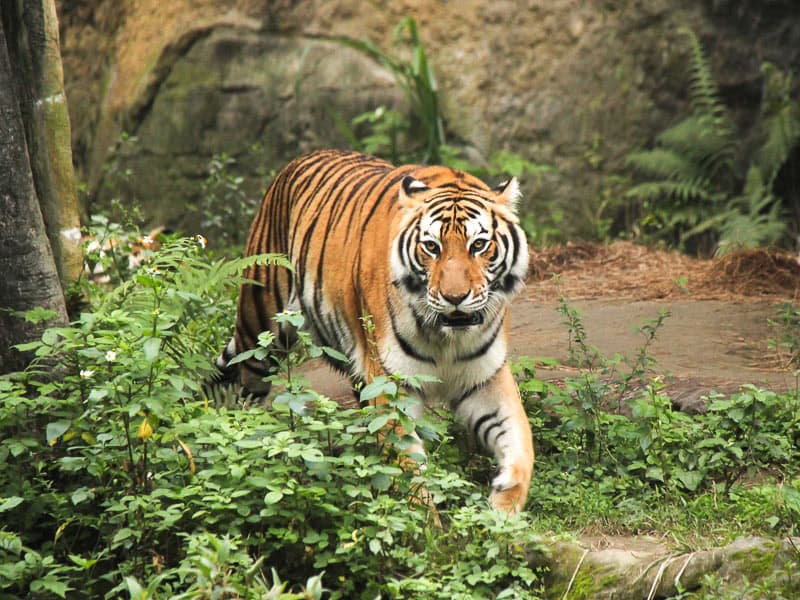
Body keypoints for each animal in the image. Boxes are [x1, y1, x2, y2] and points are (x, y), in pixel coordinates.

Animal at [216, 148, 536, 512]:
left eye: (479, 245)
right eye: (432, 247)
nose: (455, 298)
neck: (447, 338)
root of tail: (299, 160)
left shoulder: (485, 378)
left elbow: (521, 444)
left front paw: (503, 507)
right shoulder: (390, 384)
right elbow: (409, 473)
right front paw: (427, 523)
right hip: (259, 328)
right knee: (246, 388)